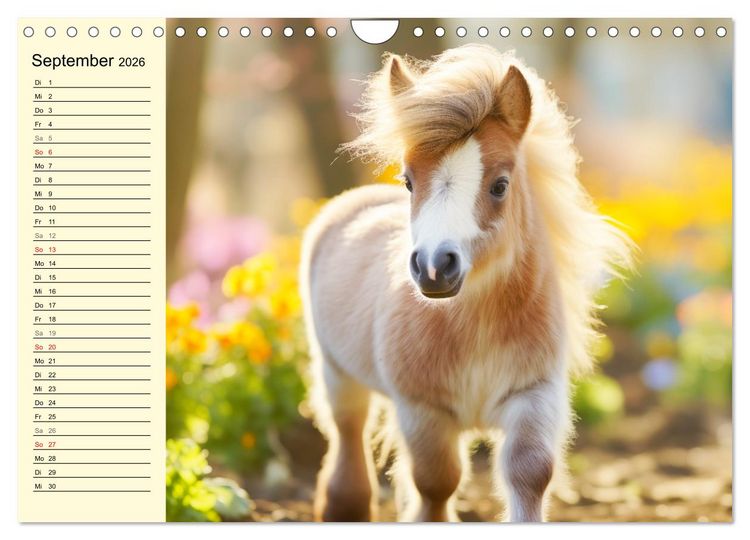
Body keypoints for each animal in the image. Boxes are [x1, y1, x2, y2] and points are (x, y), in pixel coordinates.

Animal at [299, 44, 632, 522]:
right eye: (408, 181)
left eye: (500, 185)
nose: (435, 266)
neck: (477, 326)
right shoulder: (422, 410)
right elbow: (436, 482)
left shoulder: (534, 396)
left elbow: (530, 473)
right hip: (337, 372)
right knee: (348, 430)